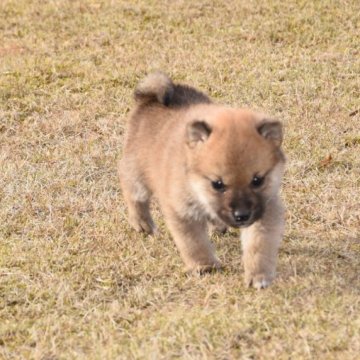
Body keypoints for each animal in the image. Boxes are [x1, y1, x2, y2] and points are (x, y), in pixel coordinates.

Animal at [119, 73, 286, 290]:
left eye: (257, 180)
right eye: (217, 184)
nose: (242, 215)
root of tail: (149, 98)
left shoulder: (266, 210)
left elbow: (259, 245)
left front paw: (259, 275)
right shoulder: (181, 211)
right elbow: (194, 242)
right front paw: (204, 266)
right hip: (137, 173)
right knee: (132, 192)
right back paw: (142, 223)